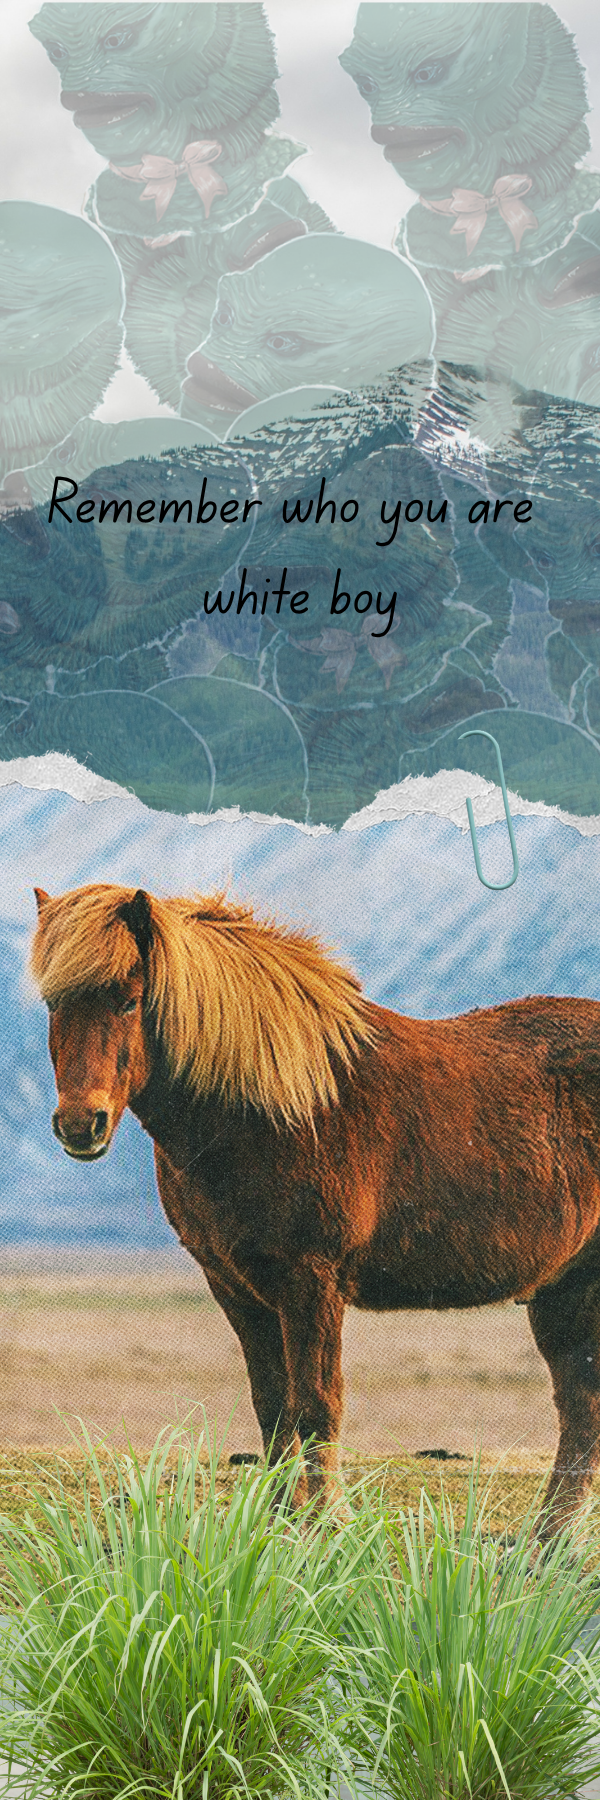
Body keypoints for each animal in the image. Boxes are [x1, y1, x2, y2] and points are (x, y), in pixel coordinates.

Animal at [30, 880, 600, 1526]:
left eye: (128, 1002)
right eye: (54, 1005)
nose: (81, 1125)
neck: (269, 1106)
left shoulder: (311, 1279)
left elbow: (316, 1404)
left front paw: (324, 1522)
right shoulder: (236, 1286)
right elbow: (273, 1406)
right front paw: (276, 1522)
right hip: (565, 1288)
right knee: (579, 1404)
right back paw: (547, 1540)